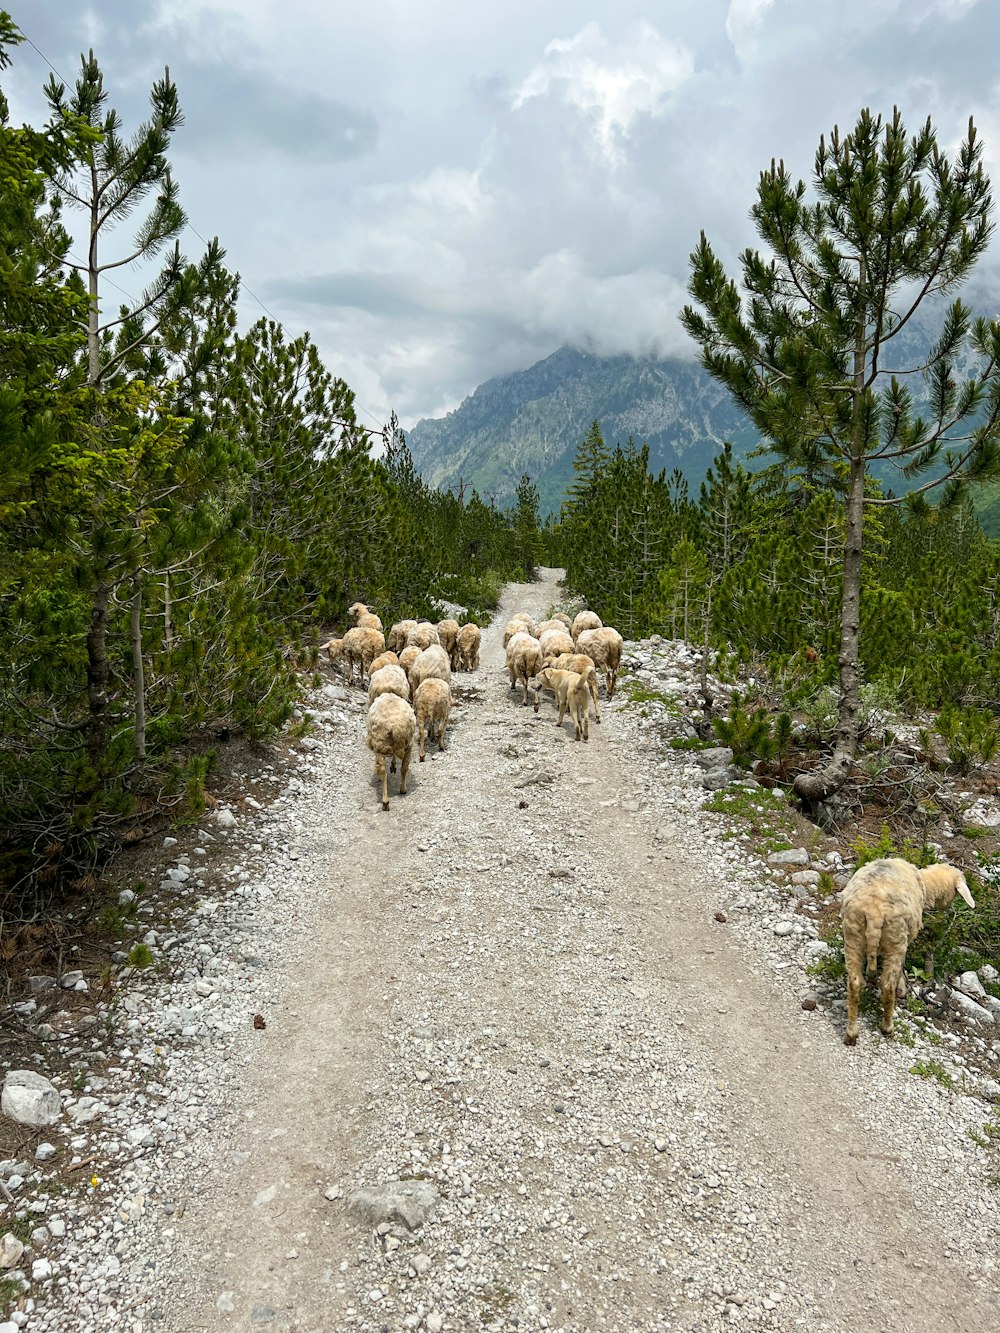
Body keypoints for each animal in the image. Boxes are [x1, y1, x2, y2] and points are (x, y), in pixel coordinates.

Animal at [842, 858, 976, 1045]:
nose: (949, 908)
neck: (925, 884)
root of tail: (874, 913)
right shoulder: (907, 937)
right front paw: (902, 986)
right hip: (896, 937)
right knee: (887, 985)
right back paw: (888, 1027)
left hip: (853, 934)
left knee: (854, 983)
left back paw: (851, 1033)